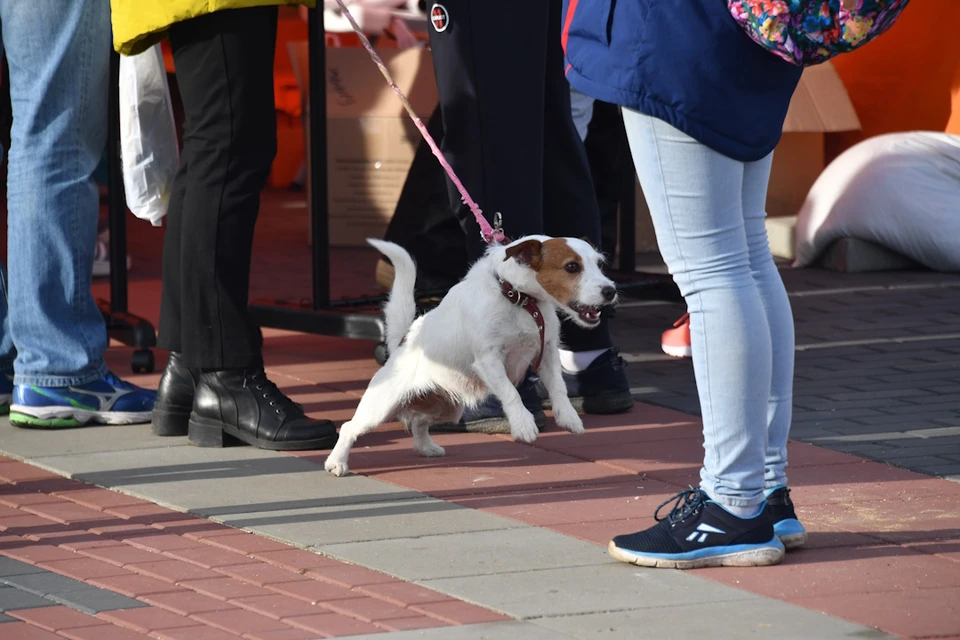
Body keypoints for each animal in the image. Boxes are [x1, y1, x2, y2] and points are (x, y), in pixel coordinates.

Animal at [326, 235, 620, 476]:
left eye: (600, 264)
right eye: (572, 267)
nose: (611, 290)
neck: (519, 299)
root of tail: (402, 343)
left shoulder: (546, 353)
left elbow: (559, 388)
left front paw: (568, 416)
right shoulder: (489, 360)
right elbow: (511, 394)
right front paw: (523, 424)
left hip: (446, 408)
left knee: (418, 421)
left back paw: (426, 447)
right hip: (380, 407)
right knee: (350, 427)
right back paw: (336, 462)